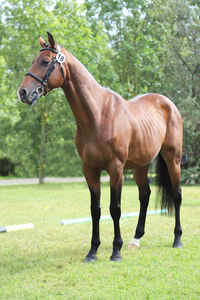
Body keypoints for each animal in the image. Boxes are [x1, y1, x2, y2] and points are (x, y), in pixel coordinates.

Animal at [17, 32, 183, 262]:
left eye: (45, 61)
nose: (23, 92)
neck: (98, 115)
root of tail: (168, 103)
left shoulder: (116, 169)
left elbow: (115, 209)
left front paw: (116, 251)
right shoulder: (90, 170)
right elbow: (95, 209)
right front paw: (93, 251)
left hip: (173, 159)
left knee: (176, 195)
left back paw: (177, 240)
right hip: (141, 165)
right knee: (145, 196)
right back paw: (135, 239)